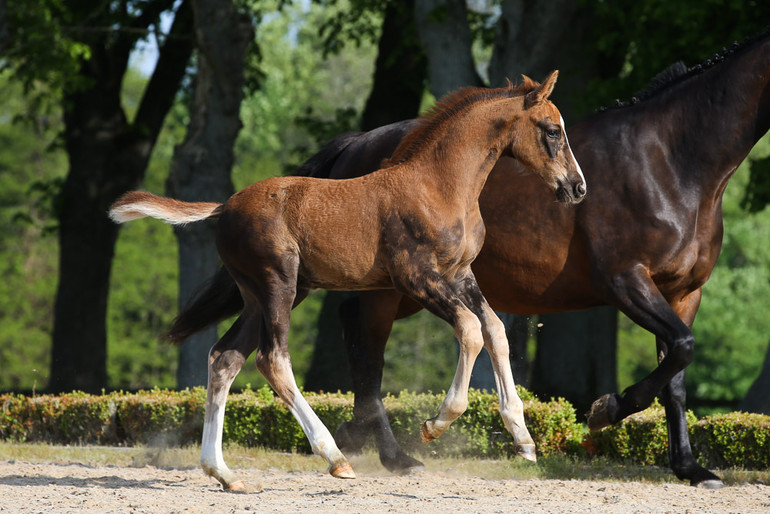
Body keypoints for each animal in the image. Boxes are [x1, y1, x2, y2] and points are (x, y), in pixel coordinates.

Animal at [168, 30, 768, 486]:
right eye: (552, 131)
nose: (577, 189)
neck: (674, 160)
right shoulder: (623, 280)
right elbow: (480, 333)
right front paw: (600, 411)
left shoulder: (679, 290)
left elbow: (668, 367)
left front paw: (687, 466)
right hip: (319, 289)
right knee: (307, 355)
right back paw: (365, 454)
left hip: (295, 292)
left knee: (236, 357)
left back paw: (245, 467)